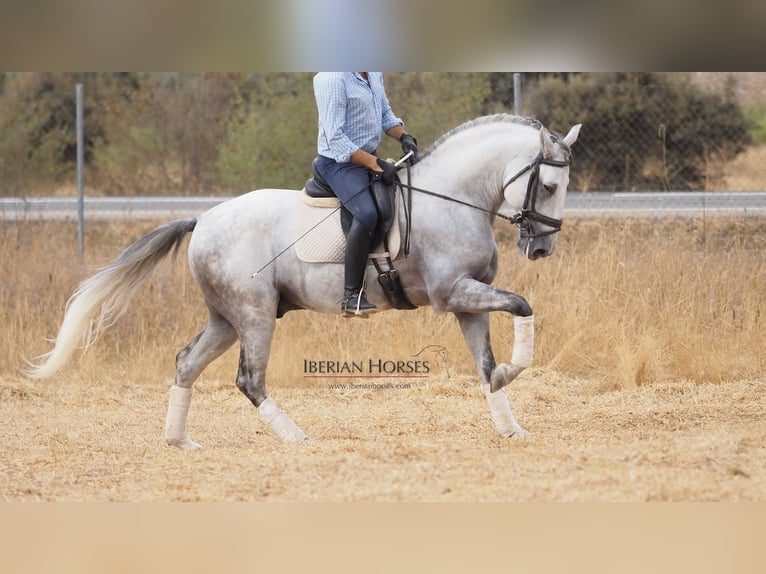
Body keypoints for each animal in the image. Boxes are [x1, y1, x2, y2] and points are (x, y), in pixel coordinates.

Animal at [27, 115, 584, 450]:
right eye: (548, 185)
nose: (542, 248)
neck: (452, 198)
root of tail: (203, 220)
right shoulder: (453, 295)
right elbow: (522, 304)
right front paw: (514, 372)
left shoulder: (467, 301)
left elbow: (487, 364)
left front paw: (510, 422)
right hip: (253, 316)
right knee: (249, 379)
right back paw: (296, 437)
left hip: (227, 318)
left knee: (187, 362)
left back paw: (179, 441)